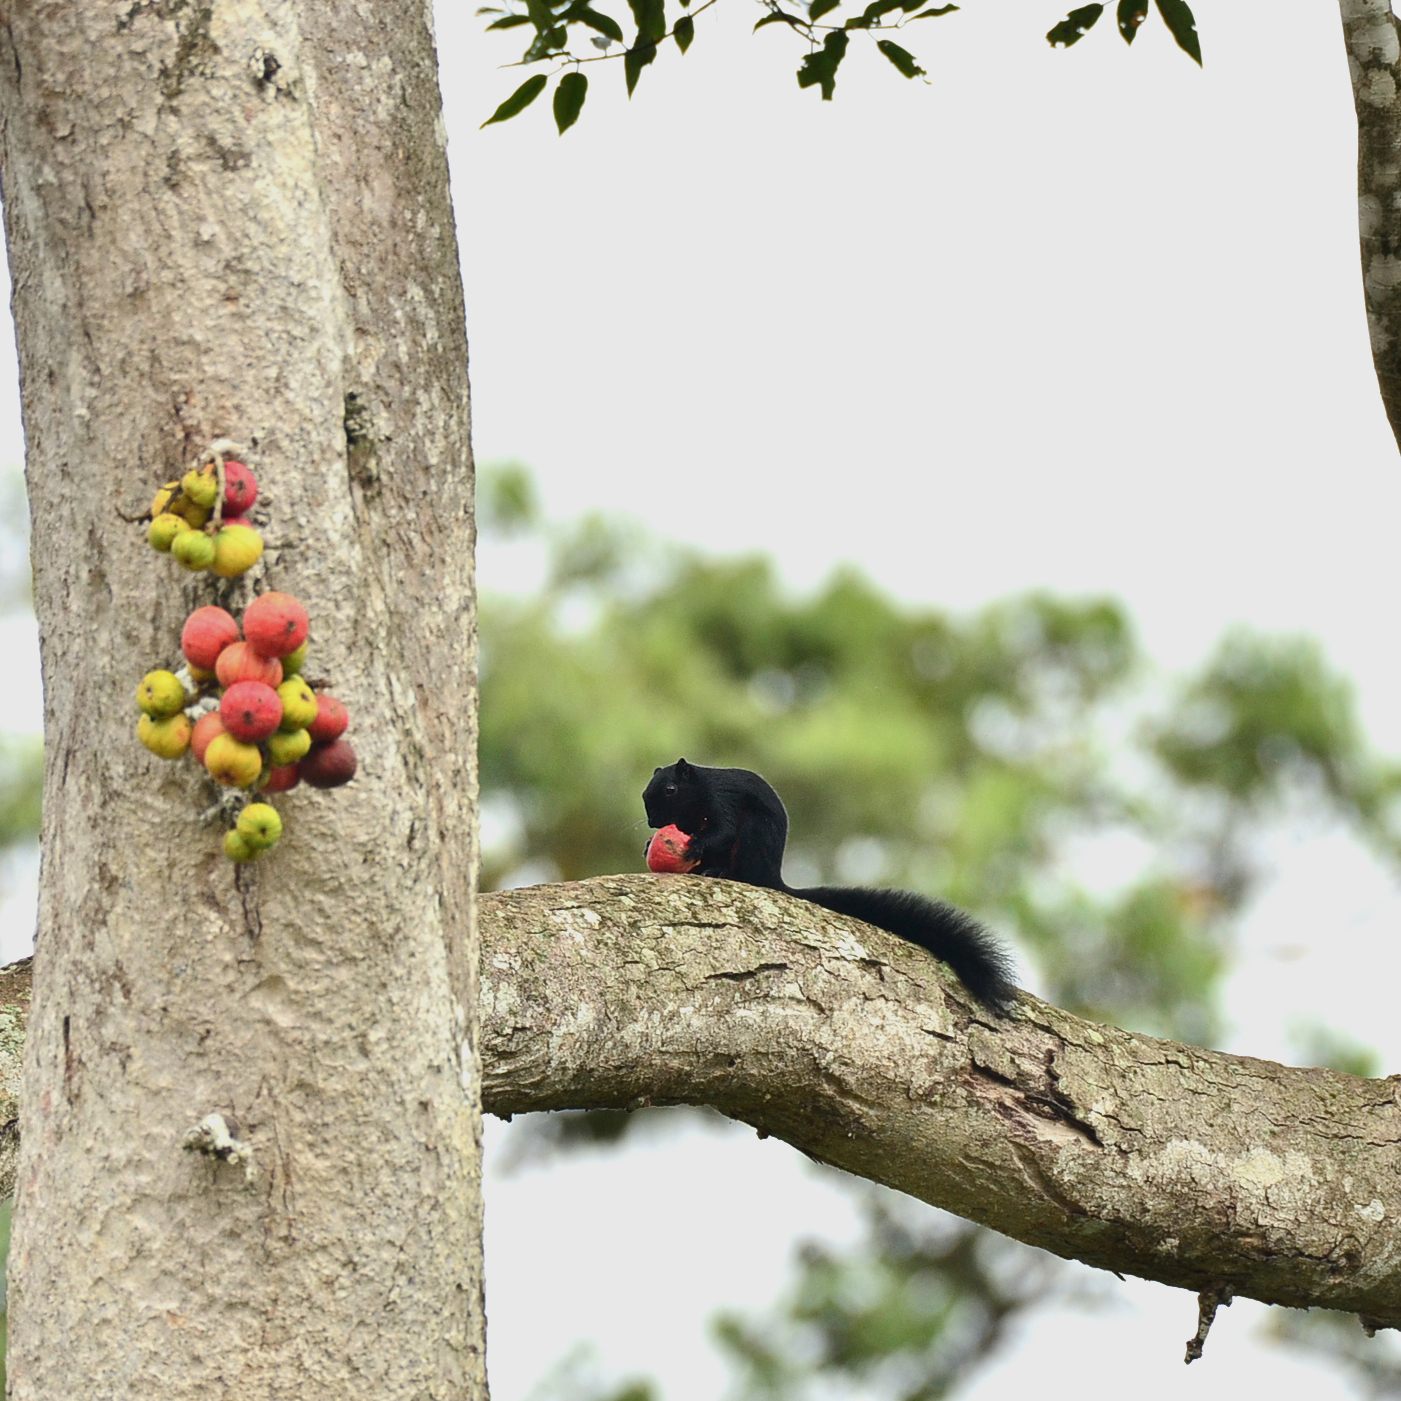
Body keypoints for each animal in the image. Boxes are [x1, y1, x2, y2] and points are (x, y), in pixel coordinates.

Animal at [642, 758, 1016, 1011]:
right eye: (646, 793)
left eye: (671, 789)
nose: (651, 822)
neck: (694, 802)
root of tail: (772, 875)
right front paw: (651, 845)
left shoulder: (723, 800)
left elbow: (721, 830)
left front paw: (692, 847)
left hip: (753, 837)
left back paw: (719, 871)